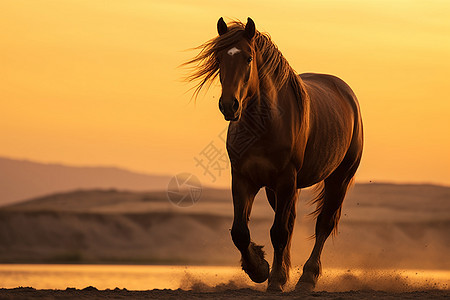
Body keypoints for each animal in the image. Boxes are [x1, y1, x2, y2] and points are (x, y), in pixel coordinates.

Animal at [185, 17, 364, 292]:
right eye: (219, 58)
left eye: (248, 58)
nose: (229, 106)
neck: (263, 125)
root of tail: (346, 92)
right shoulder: (243, 179)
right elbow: (240, 232)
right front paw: (259, 269)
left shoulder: (285, 180)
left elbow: (278, 232)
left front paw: (274, 280)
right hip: (276, 190)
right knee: (290, 223)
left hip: (338, 179)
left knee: (323, 224)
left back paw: (307, 278)